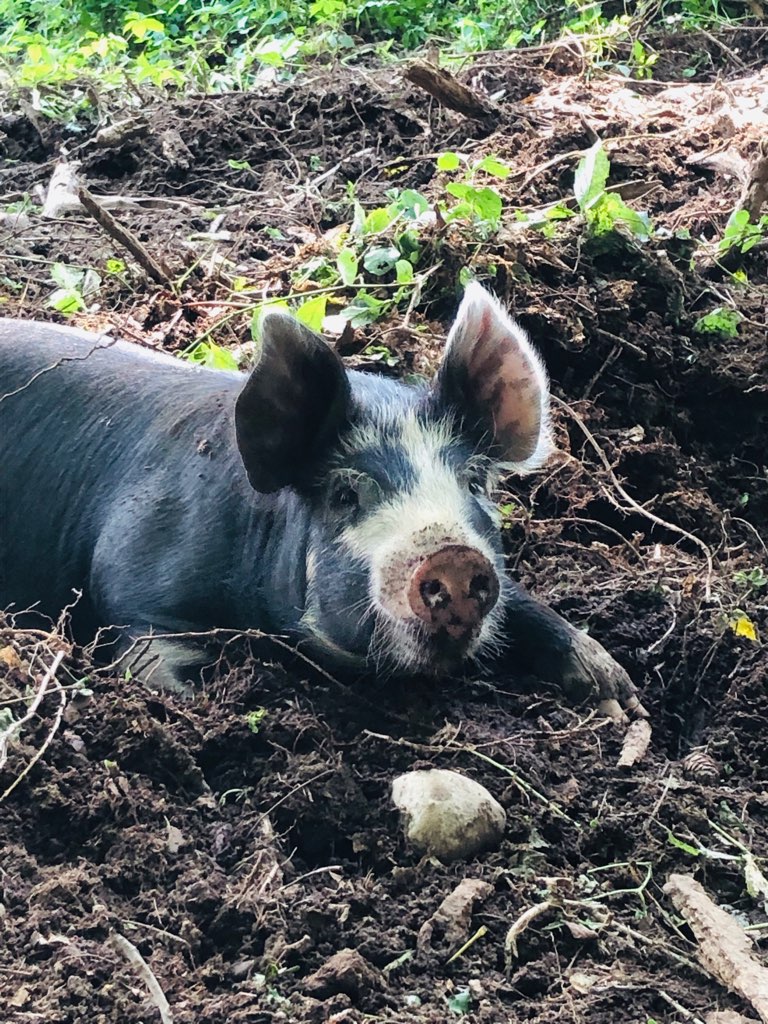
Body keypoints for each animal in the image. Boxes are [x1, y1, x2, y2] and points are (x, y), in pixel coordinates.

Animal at [0, 283, 645, 721]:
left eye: (474, 482)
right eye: (344, 494)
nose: (452, 555)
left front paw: (619, 696)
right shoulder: (134, 588)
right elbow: (151, 659)